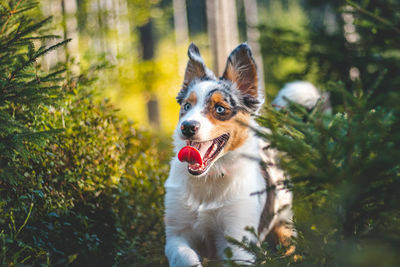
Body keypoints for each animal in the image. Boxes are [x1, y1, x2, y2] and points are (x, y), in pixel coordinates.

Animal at [163, 43, 296, 266]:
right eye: (187, 106)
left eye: (219, 109)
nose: (187, 127)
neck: (209, 178)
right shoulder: (176, 234)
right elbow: (186, 257)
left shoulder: (239, 240)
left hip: (284, 224)